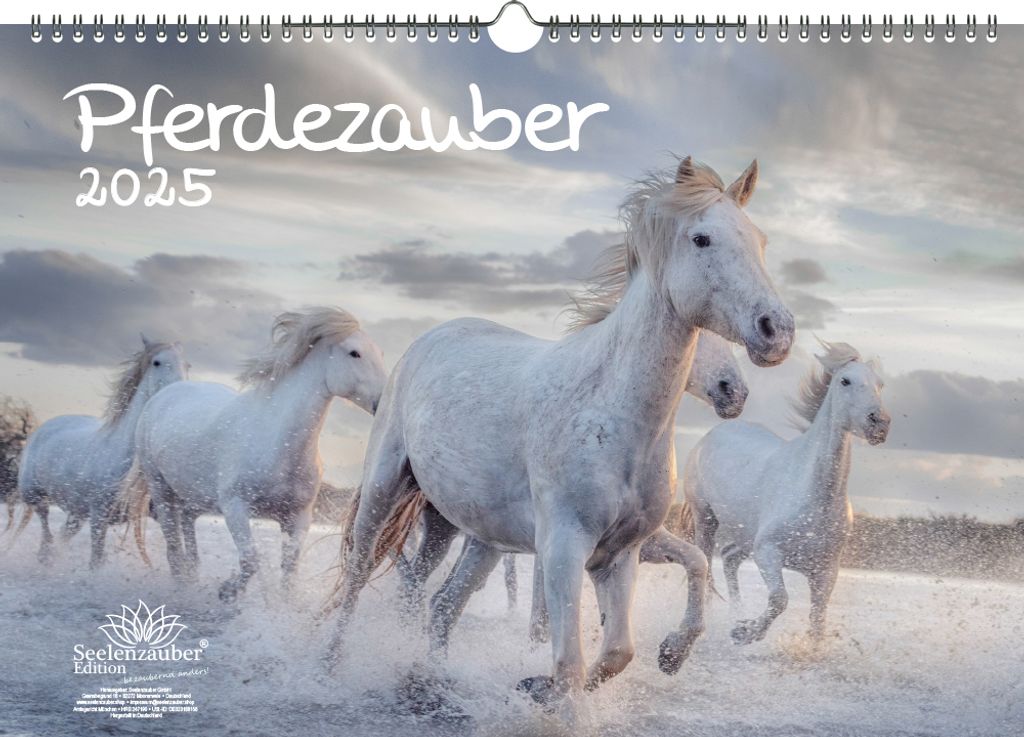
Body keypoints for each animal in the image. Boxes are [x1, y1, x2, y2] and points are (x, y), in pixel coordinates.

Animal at [15, 336, 188, 567]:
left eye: (187, 365)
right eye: (157, 362)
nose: (179, 393)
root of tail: (44, 427)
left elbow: (178, 555)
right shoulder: (99, 516)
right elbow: (95, 560)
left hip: (77, 513)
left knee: (61, 535)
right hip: (34, 495)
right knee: (45, 525)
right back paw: (44, 556)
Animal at [130, 308, 387, 602]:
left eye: (380, 353)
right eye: (354, 353)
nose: (384, 401)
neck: (277, 444)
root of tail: (164, 394)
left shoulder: (298, 517)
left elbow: (289, 570)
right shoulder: (235, 507)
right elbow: (251, 561)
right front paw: (226, 591)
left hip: (191, 499)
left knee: (189, 545)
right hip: (161, 489)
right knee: (173, 549)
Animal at [396, 329, 749, 675]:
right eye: (700, 340)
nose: (733, 391)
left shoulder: (635, 542)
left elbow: (696, 560)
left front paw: (673, 652)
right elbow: (544, 618)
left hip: (479, 542)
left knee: (443, 598)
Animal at [683, 341, 890, 644]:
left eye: (880, 384)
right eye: (845, 381)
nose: (880, 423)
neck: (815, 497)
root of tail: (712, 434)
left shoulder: (826, 571)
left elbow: (817, 621)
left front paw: (746, 628)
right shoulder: (768, 552)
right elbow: (780, 599)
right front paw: (746, 633)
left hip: (746, 535)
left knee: (730, 558)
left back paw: (737, 614)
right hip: (706, 518)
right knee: (707, 564)